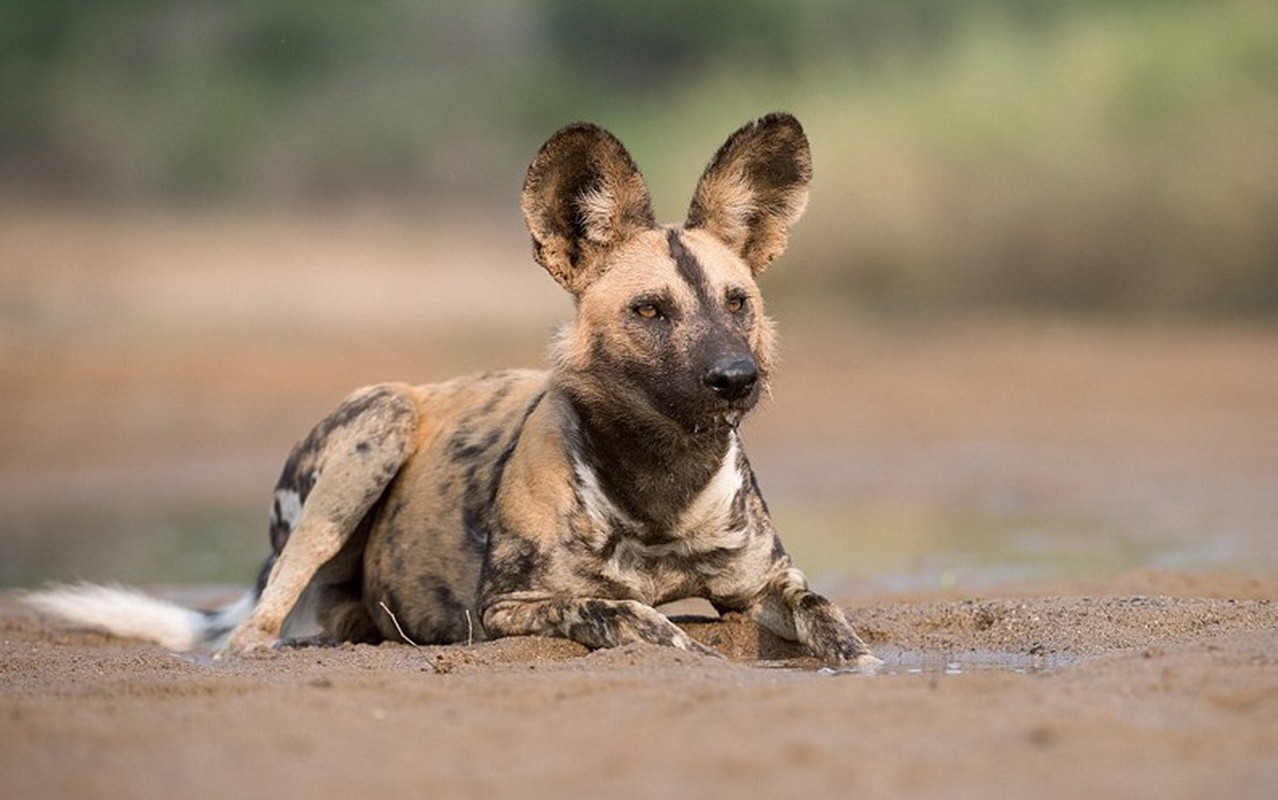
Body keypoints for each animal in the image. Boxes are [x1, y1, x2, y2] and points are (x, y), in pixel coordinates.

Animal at [22, 109, 879, 664]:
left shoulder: (768, 583)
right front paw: (666, 636)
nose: (736, 378)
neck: (660, 483)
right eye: (649, 310)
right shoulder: (505, 607)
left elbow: (829, 615)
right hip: (374, 433)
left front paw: (859, 659)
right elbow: (619, 610)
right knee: (251, 628)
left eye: (738, 304)